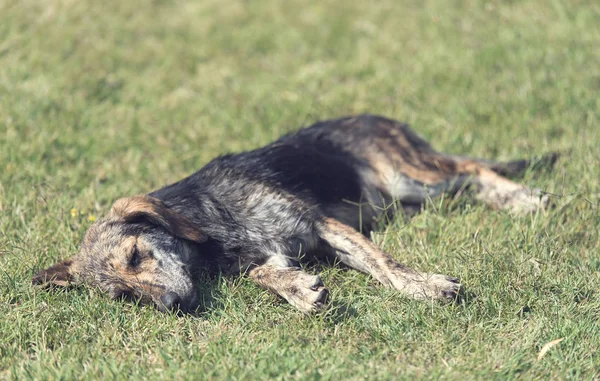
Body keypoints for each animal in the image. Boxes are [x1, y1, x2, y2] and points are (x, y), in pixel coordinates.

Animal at [32, 114, 556, 314]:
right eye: (123, 297)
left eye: (137, 255)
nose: (172, 306)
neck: (210, 224)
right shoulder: (273, 255)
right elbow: (265, 275)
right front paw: (300, 291)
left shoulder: (322, 224)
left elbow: (384, 264)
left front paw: (425, 286)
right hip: (413, 197)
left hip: (410, 175)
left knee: (472, 169)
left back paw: (524, 199)